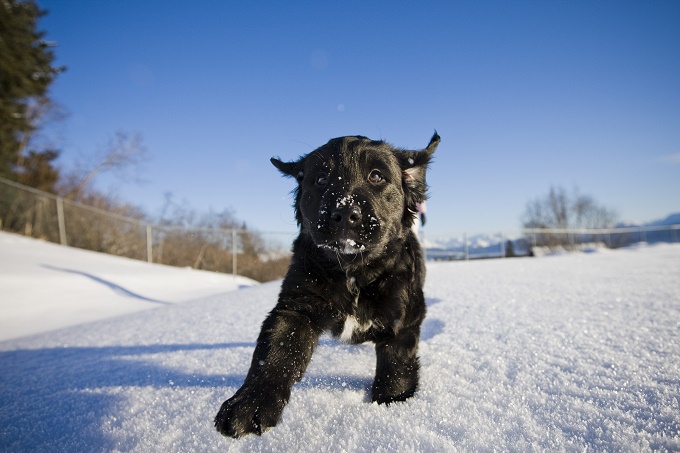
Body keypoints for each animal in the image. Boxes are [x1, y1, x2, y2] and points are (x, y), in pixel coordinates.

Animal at [216, 132, 440, 436]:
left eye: (376, 175)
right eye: (321, 179)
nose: (345, 212)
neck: (354, 273)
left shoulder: (404, 317)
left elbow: (397, 364)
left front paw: (392, 404)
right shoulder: (296, 305)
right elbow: (275, 351)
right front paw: (248, 405)